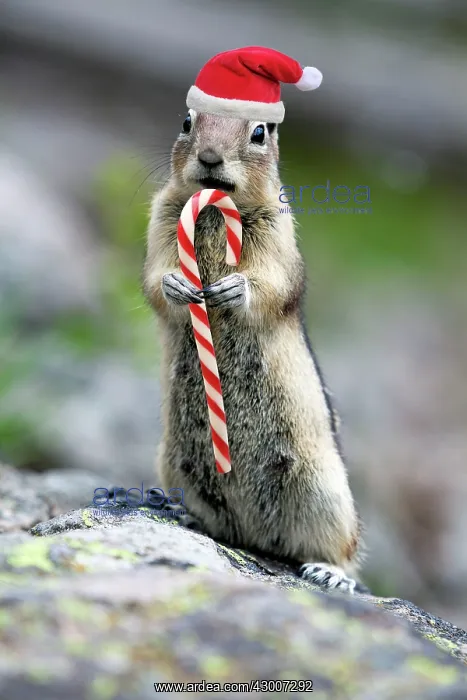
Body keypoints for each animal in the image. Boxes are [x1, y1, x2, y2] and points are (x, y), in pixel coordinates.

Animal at [143, 108, 364, 593]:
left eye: (259, 132)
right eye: (186, 121)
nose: (210, 156)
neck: (214, 211)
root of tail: (257, 538)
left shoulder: (277, 229)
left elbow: (273, 280)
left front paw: (233, 288)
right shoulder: (160, 218)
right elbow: (153, 276)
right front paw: (177, 284)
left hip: (326, 490)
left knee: (345, 548)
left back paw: (329, 572)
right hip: (174, 463)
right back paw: (183, 513)